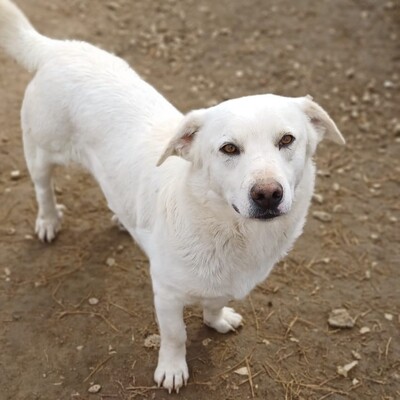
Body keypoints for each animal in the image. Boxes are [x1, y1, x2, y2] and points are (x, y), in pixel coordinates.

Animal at [0, 0, 344, 394]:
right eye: (228, 148)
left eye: (287, 140)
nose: (268, 194)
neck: (226, 228)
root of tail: (58, 49)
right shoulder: (165, 293)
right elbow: (176, 334)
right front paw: (172, 369)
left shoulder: (222, 283)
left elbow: (215, 302)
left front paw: (216, 319)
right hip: (42, 151)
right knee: (42, 187)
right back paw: (49, 220)